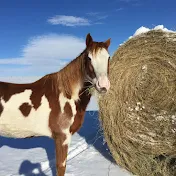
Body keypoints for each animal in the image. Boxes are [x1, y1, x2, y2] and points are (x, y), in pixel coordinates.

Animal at [0, 33, 110, 176]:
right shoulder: (62, 137)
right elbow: (61, 166)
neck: (66, 95)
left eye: (108, 57)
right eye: (89, 58)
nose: (103, 86)